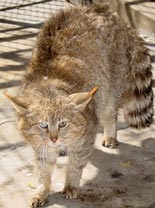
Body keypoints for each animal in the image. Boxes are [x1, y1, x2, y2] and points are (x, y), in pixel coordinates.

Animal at [5, 2, 154, 207]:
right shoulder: (39, 144)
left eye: (63, 123)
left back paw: (110, 131)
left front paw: (71, 182)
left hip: (110, 83)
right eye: (43, 125)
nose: (54, 139)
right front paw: (42, 188)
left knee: (109, 110)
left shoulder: (86, 132)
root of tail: (107, 11)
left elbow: (76, 163)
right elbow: (43, 168)